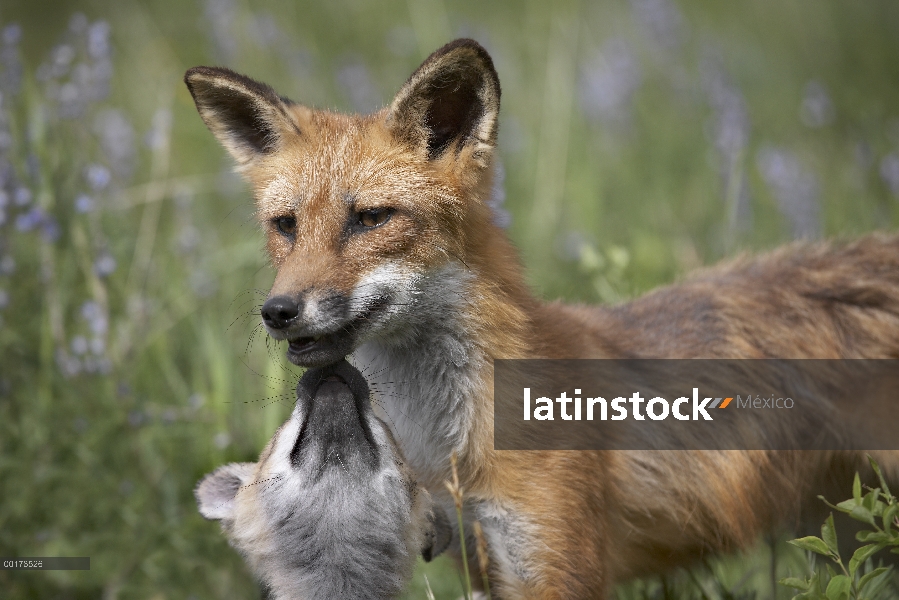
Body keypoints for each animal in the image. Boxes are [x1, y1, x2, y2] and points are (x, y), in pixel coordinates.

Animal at [185, 39, 899, 596]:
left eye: (371, 219)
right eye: (285, 226)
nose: (278, 312)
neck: (454, 445)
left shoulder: (556, 564)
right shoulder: (481, 557)